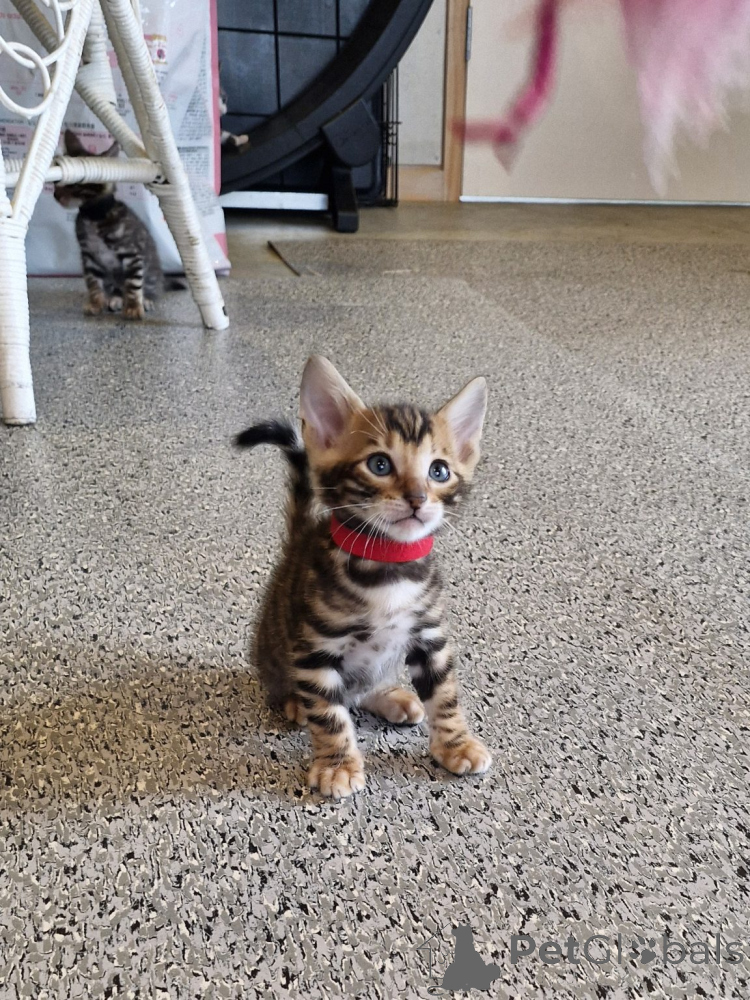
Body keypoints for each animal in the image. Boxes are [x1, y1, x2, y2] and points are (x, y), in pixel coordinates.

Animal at [53, 130, 165, 320]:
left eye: (75, 184)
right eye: (56, 181)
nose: (55, 195)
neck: (95, 217)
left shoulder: (132, 253)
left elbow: (133, 284)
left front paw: (134, 307)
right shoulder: (90, 256)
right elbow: (93, 283)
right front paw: (95, 303)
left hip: (150, 271)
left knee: (149, 287)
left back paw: (146, 300)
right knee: (117, 288)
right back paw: (115, 298)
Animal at [235, 356, 492, 799]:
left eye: (439, 471)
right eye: (380, 465)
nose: (418, 499)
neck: (388, 567)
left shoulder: (430, 636)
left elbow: (445, 695)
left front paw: (455, 744)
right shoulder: (316, 648)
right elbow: (329, 713)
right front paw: (337, 765)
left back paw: (390, 697)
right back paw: (294, 703)